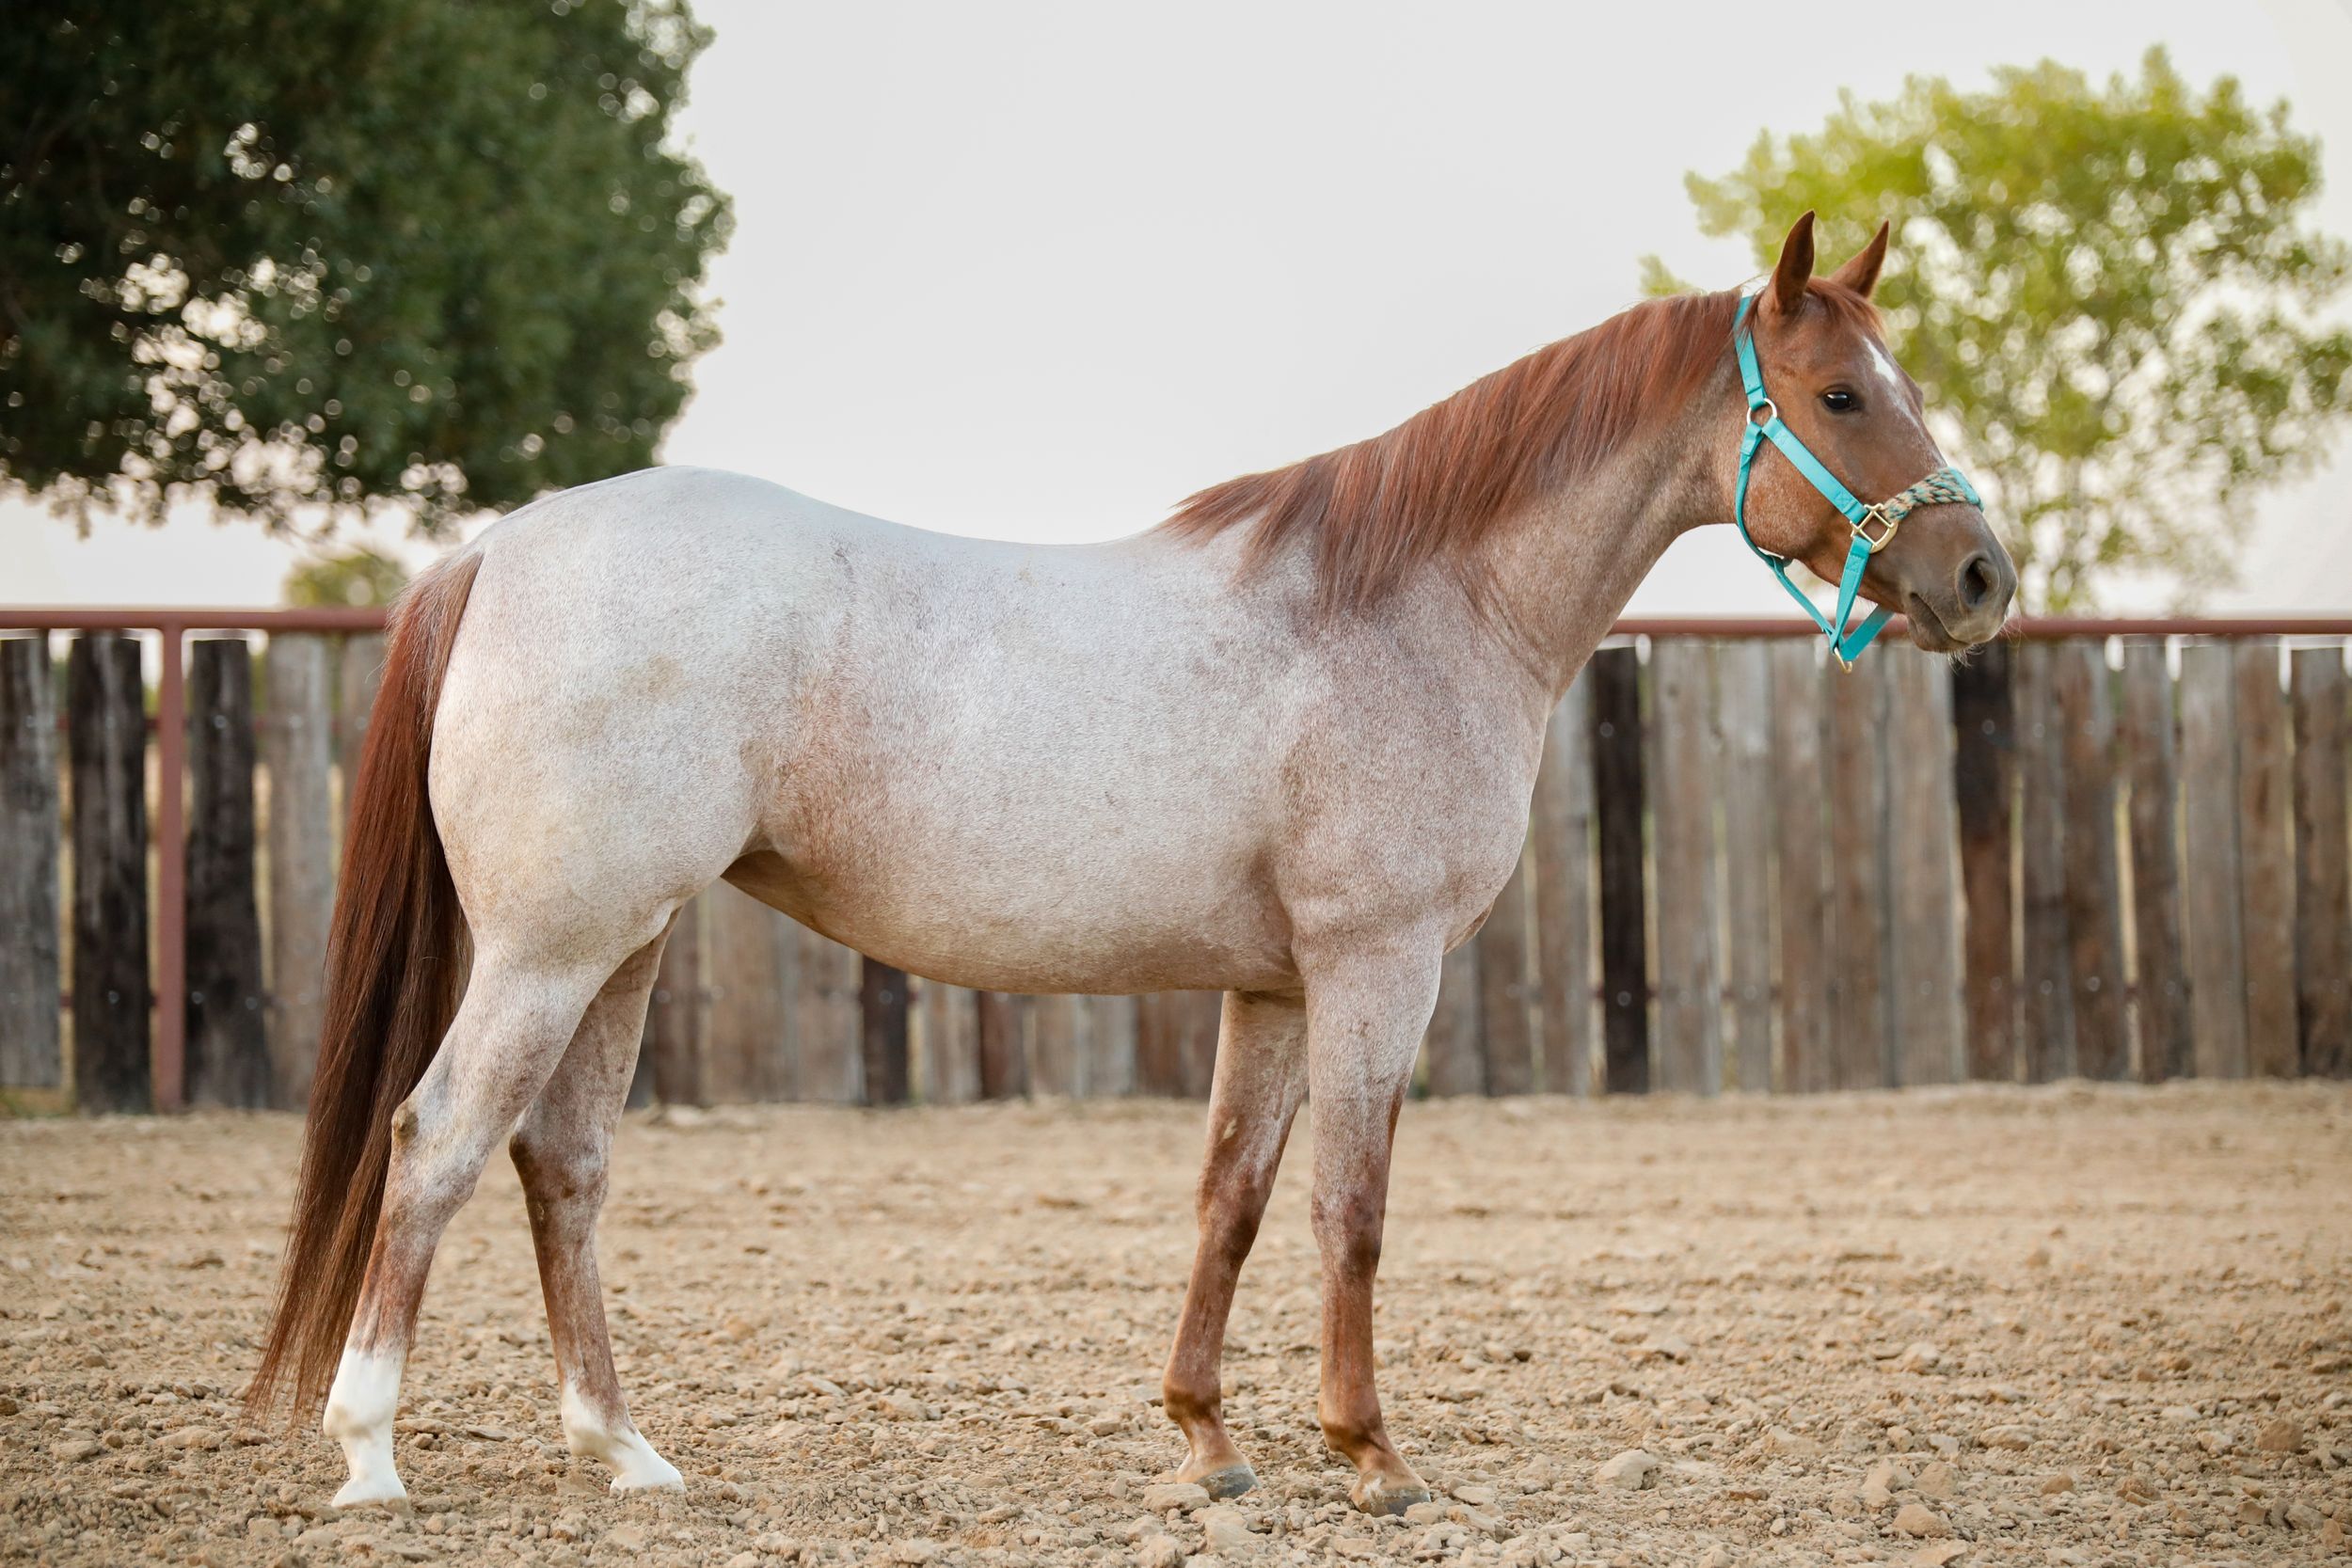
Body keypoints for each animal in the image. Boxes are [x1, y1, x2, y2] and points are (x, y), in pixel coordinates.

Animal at [249, 211, 2015, 1514]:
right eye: (1844, 396)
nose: (1982, 575)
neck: (1412, 605)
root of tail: (501, 543)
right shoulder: (1378, 966)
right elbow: (1351, 1204)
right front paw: (1374, 1457)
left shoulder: (1276, 987)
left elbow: (1232, 1195)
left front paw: (1209, 1441)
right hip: (549, 947)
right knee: (439, 1138)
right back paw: (372, 1453)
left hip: (624, 940)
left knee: (563, 1164)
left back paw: (623, 1452)